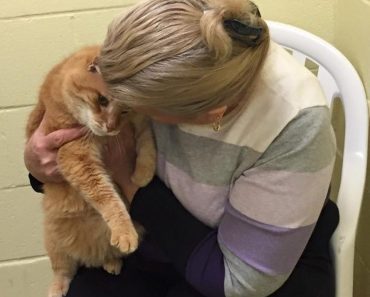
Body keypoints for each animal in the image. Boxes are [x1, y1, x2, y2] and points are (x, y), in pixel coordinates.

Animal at [24, 44, 155, 296]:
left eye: (125, 110)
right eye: (102, 100)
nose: (111, 127)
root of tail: (89, 254)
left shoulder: (140, 122)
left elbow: (147, 144)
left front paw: (142, 175)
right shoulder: (75, 157)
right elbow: (108, 198)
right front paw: (124, 231)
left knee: (106, 255)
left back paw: (111, 262)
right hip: (55, 244)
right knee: (62, 271)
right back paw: (57, 287)